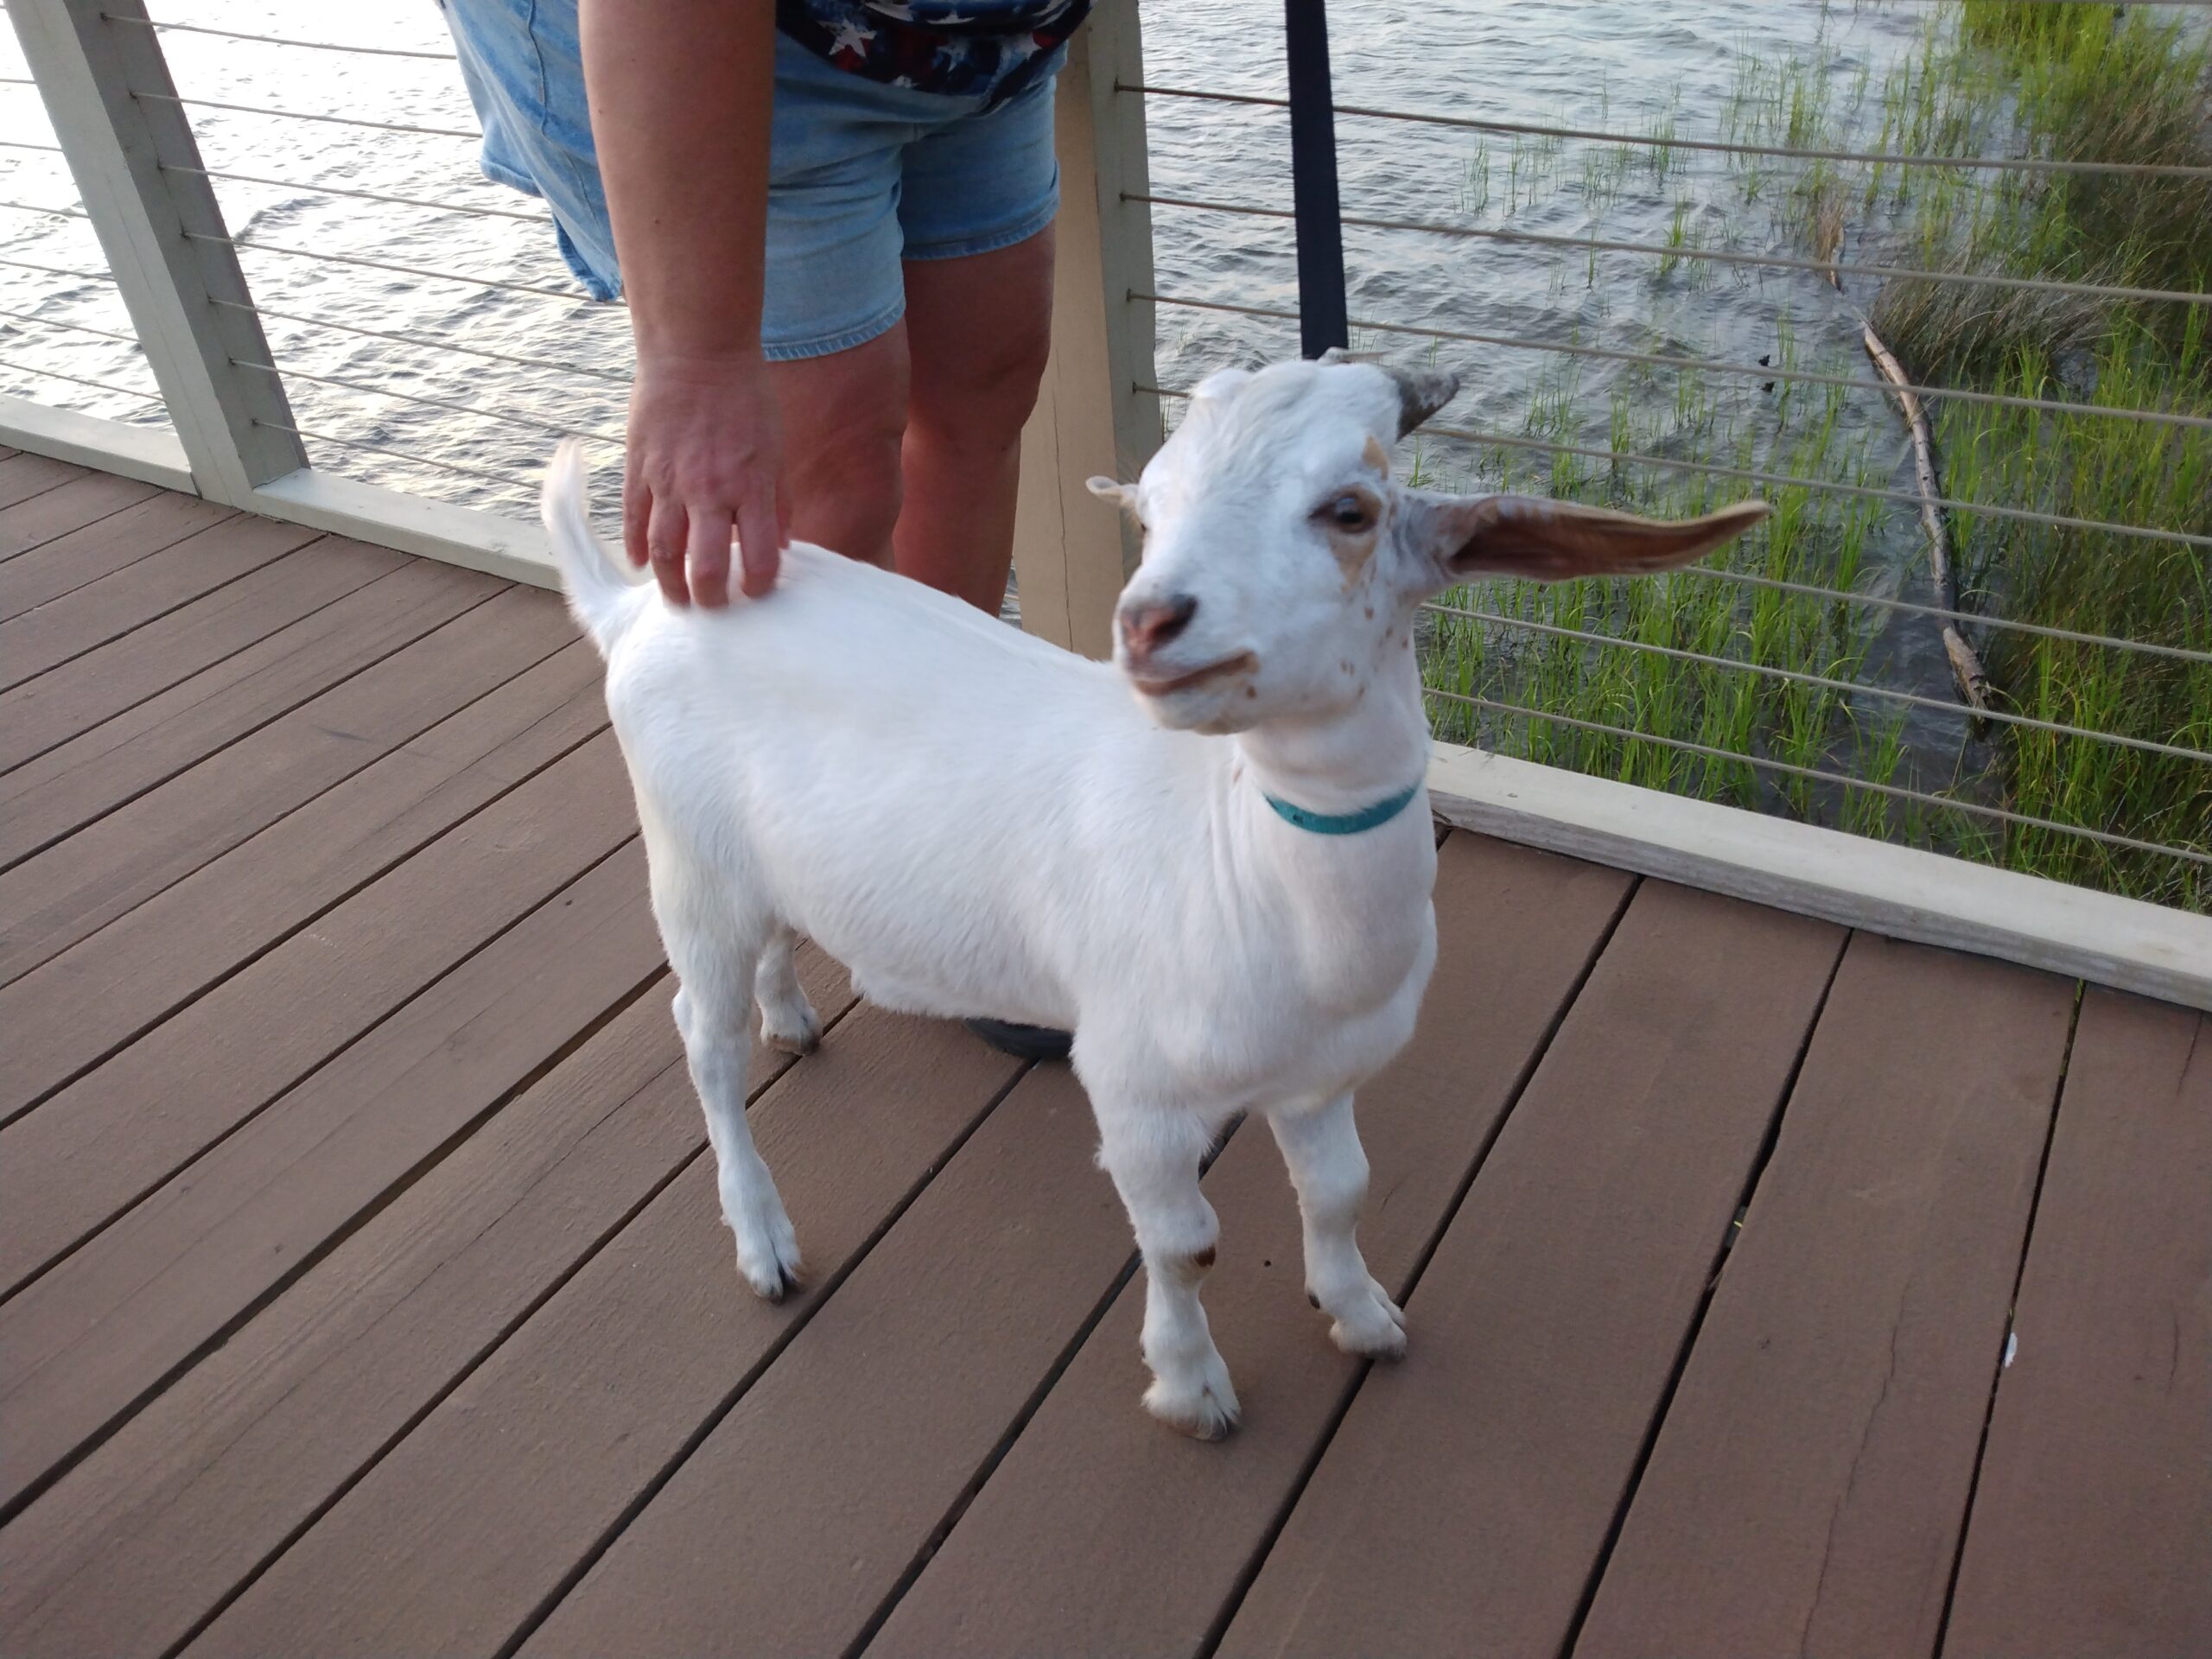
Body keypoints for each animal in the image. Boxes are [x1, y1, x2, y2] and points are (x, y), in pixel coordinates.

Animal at [543, 353, 1770, 1442]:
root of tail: (642, 606)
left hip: (752, 865)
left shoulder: (1324, 1074)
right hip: (686, 865)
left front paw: (1362, 1316)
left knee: (765, 951)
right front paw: (1191, 1390)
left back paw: (790, 1017)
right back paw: (763, 1240)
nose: (1147, 622)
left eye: (1350, 509)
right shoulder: (1133, 1090)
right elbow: (1186, 1244)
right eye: (1152, 509)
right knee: (700, 1041)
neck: (1254, 875)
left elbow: (1343, 1191)